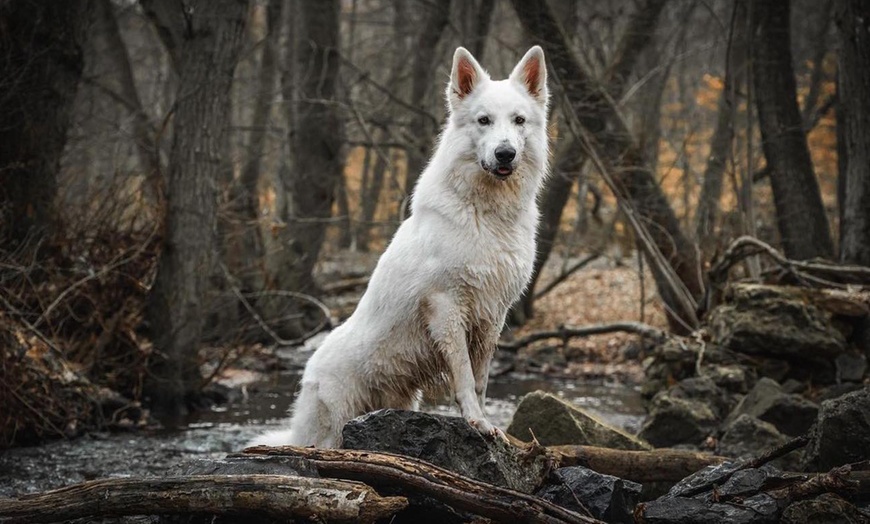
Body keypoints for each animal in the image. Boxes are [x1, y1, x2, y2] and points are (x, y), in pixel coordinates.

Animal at [252, 45, 548, 448]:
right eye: (484, 120)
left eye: (519, 121)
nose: (505, 154)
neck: (486, 213)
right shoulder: (447, 306)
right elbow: (464, 375)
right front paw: (476, 421)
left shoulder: (492, 315)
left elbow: (481, 379)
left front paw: (487, 422)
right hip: (331, 426)